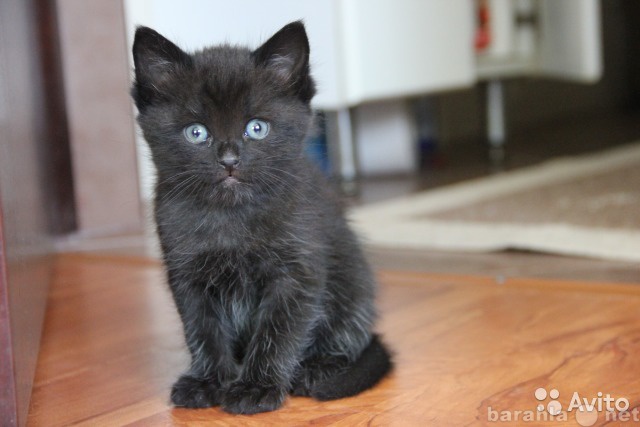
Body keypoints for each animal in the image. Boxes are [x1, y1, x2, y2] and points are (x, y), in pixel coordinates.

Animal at [130, 21, 390, 416]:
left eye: (256, 128)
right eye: (196, 132)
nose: (229, 160)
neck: (232, 219)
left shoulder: (296, 272)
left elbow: (278, 330)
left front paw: (256, 387)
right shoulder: (187, 274)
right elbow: (202, 329)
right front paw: (208, 381)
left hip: (352, 279)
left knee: (351, 332)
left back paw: (318, 366)